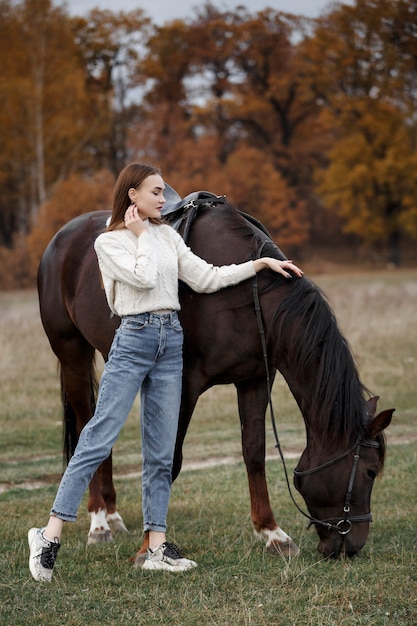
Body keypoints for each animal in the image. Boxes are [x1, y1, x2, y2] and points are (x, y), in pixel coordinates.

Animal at [36, 189, 394, 556]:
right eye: (369, 472)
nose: (353, 544)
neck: (247, 297)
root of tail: (60, 239)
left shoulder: (255, 380)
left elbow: (254, 452)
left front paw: (271, 533)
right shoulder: (182, 385)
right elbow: (169, 462)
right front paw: (151, 547)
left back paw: (111, 514)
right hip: (73, 354)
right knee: (85, 426)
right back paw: (99, 521)